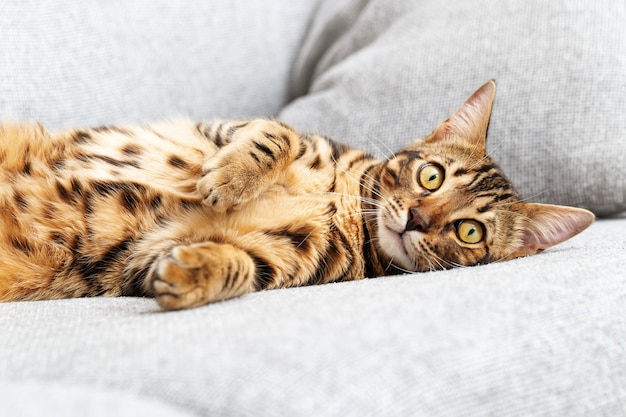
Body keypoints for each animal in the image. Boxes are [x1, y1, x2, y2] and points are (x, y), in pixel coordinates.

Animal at [0, 81, 592, 308]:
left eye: (469, 231)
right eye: (431, 178)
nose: (418, 220)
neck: (345, 205)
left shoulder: (277, 258)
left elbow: (239, 265)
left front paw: (195, 273)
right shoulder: (224, 129)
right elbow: (277, 133)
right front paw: (230, 179)